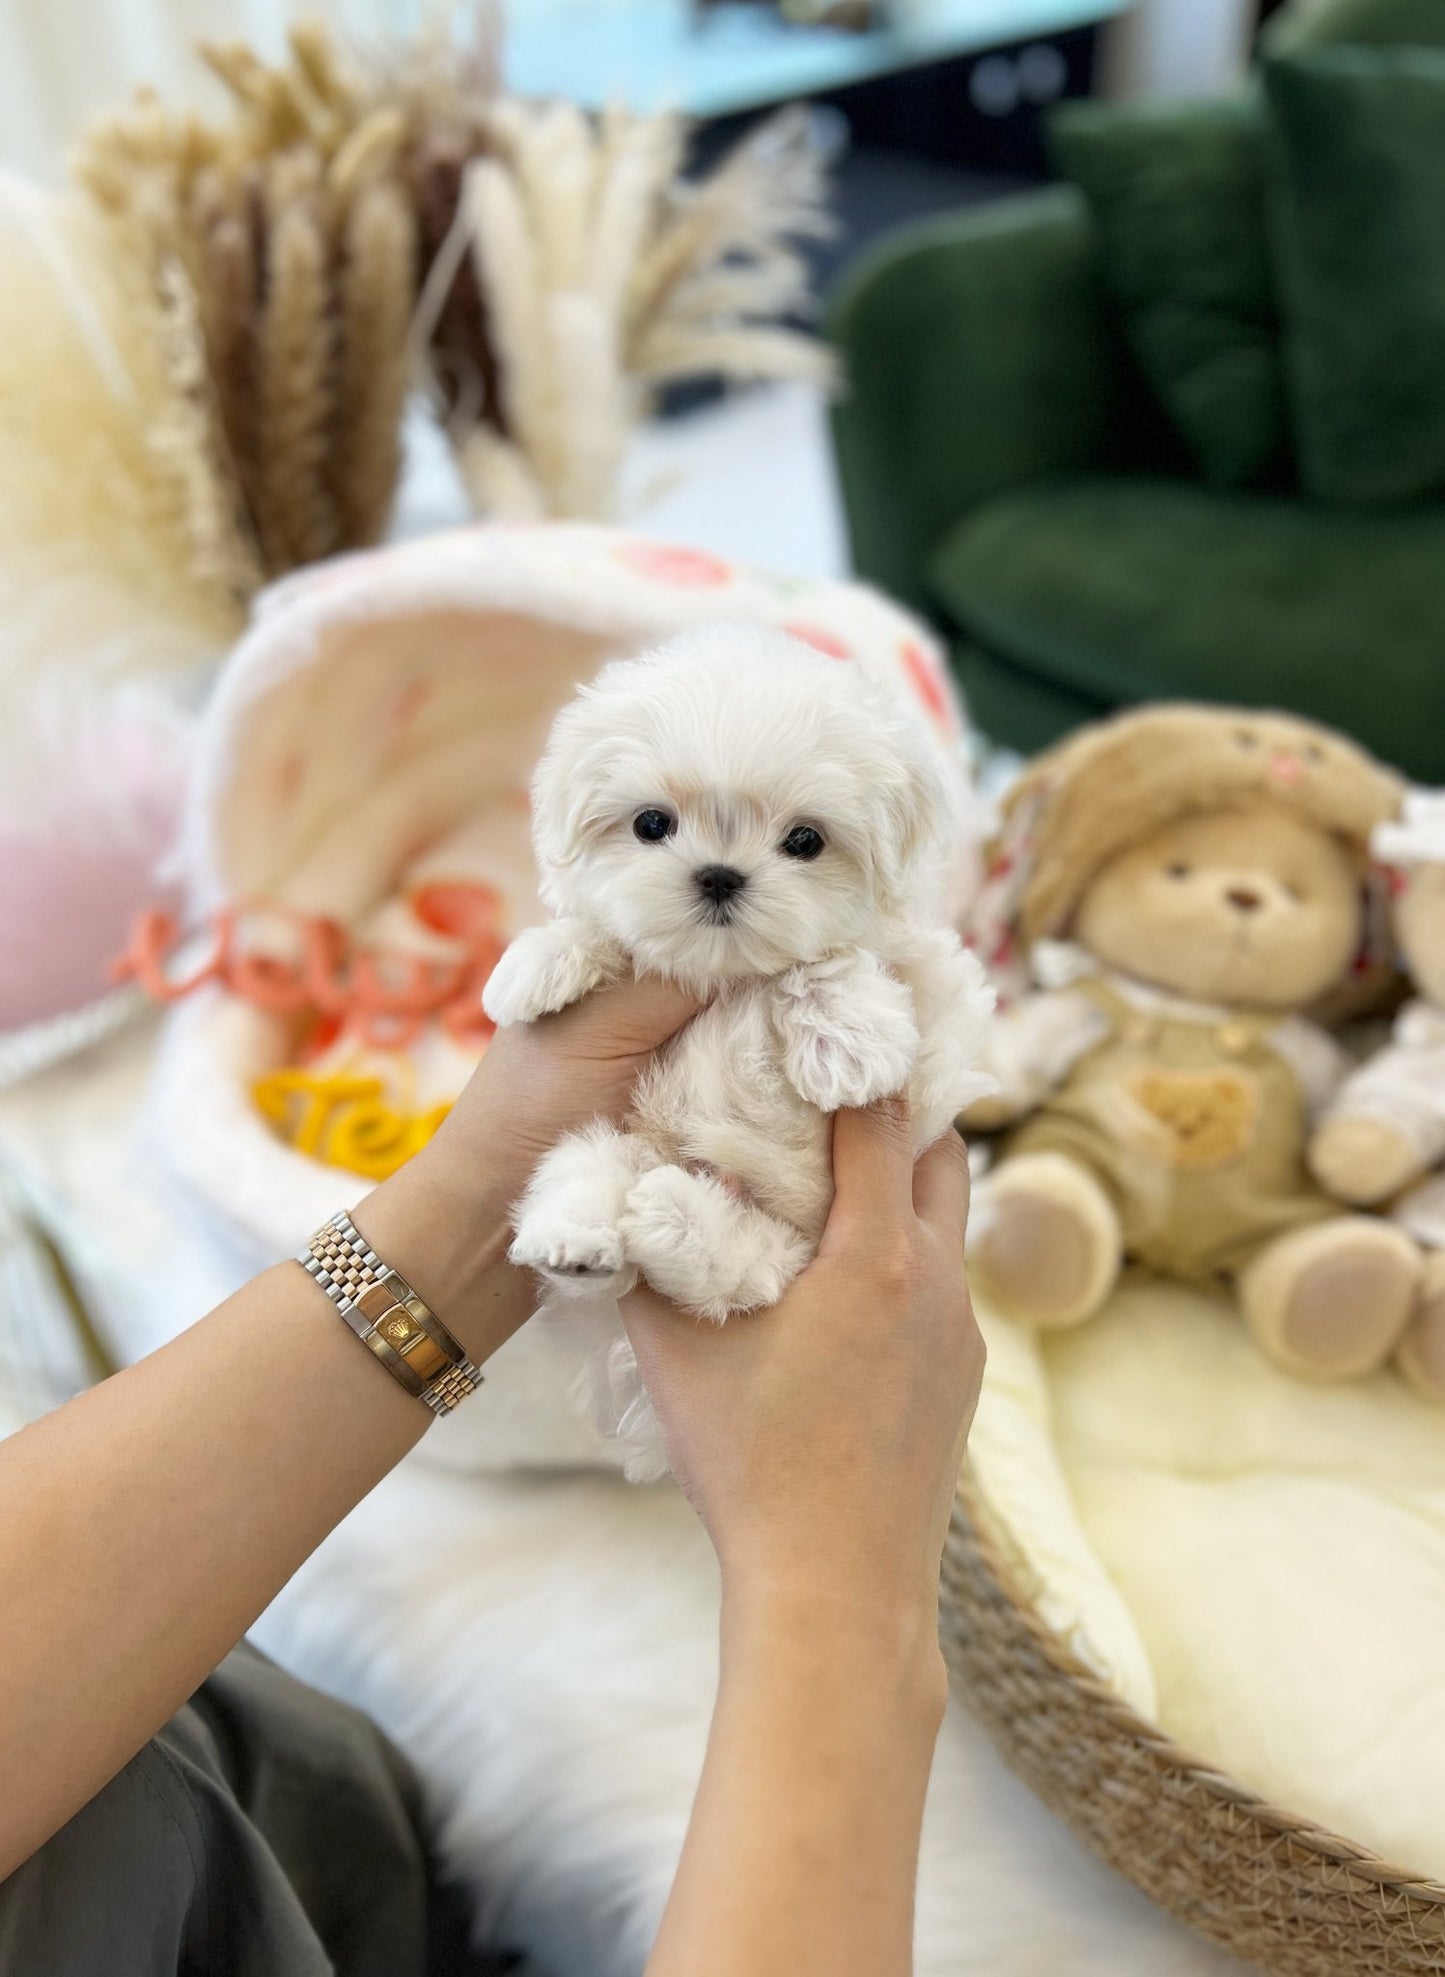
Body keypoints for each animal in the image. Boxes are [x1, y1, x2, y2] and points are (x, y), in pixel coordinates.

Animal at [486, 624, 996, 1478]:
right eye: (650, 824)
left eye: (805, 840)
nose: (719, 875)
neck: (728, 978)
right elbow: (602, 929)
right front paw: (537, 965)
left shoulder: (931, 989)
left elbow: (831, 964)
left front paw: (852, 1039)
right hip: (622, 1141)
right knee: (584, 1168)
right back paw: (579, 1239)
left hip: (794, 1247)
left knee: (739, 1271)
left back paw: (671, 1217)